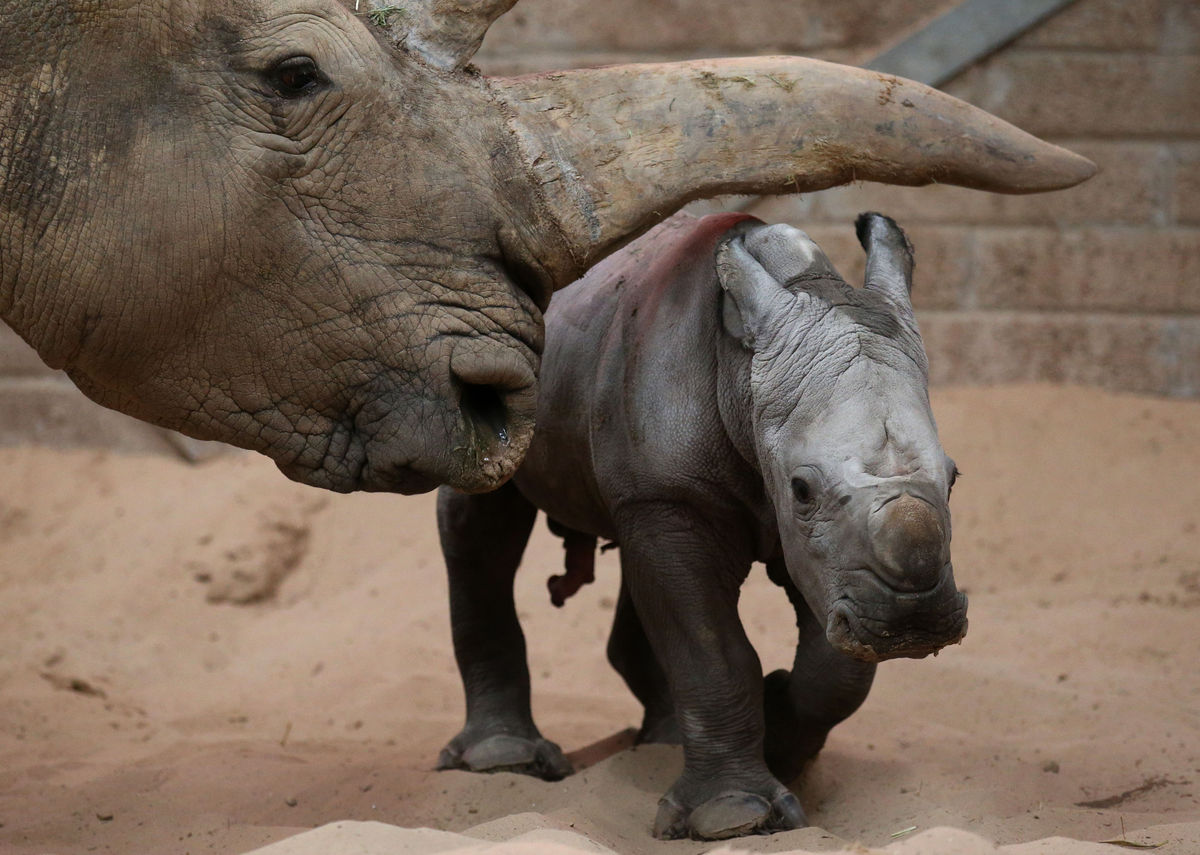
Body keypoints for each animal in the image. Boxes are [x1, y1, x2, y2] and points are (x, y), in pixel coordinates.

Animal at [436, 212, 969, 840]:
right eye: (802, 490)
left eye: (955, 478)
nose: (914, 622)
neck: (742, 375)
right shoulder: (680, 497)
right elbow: (710, 650)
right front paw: (734, 816)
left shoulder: (821, 551)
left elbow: (837, 668)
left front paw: (781, 733)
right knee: (483, 527)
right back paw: (505, 761)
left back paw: (661, 744)